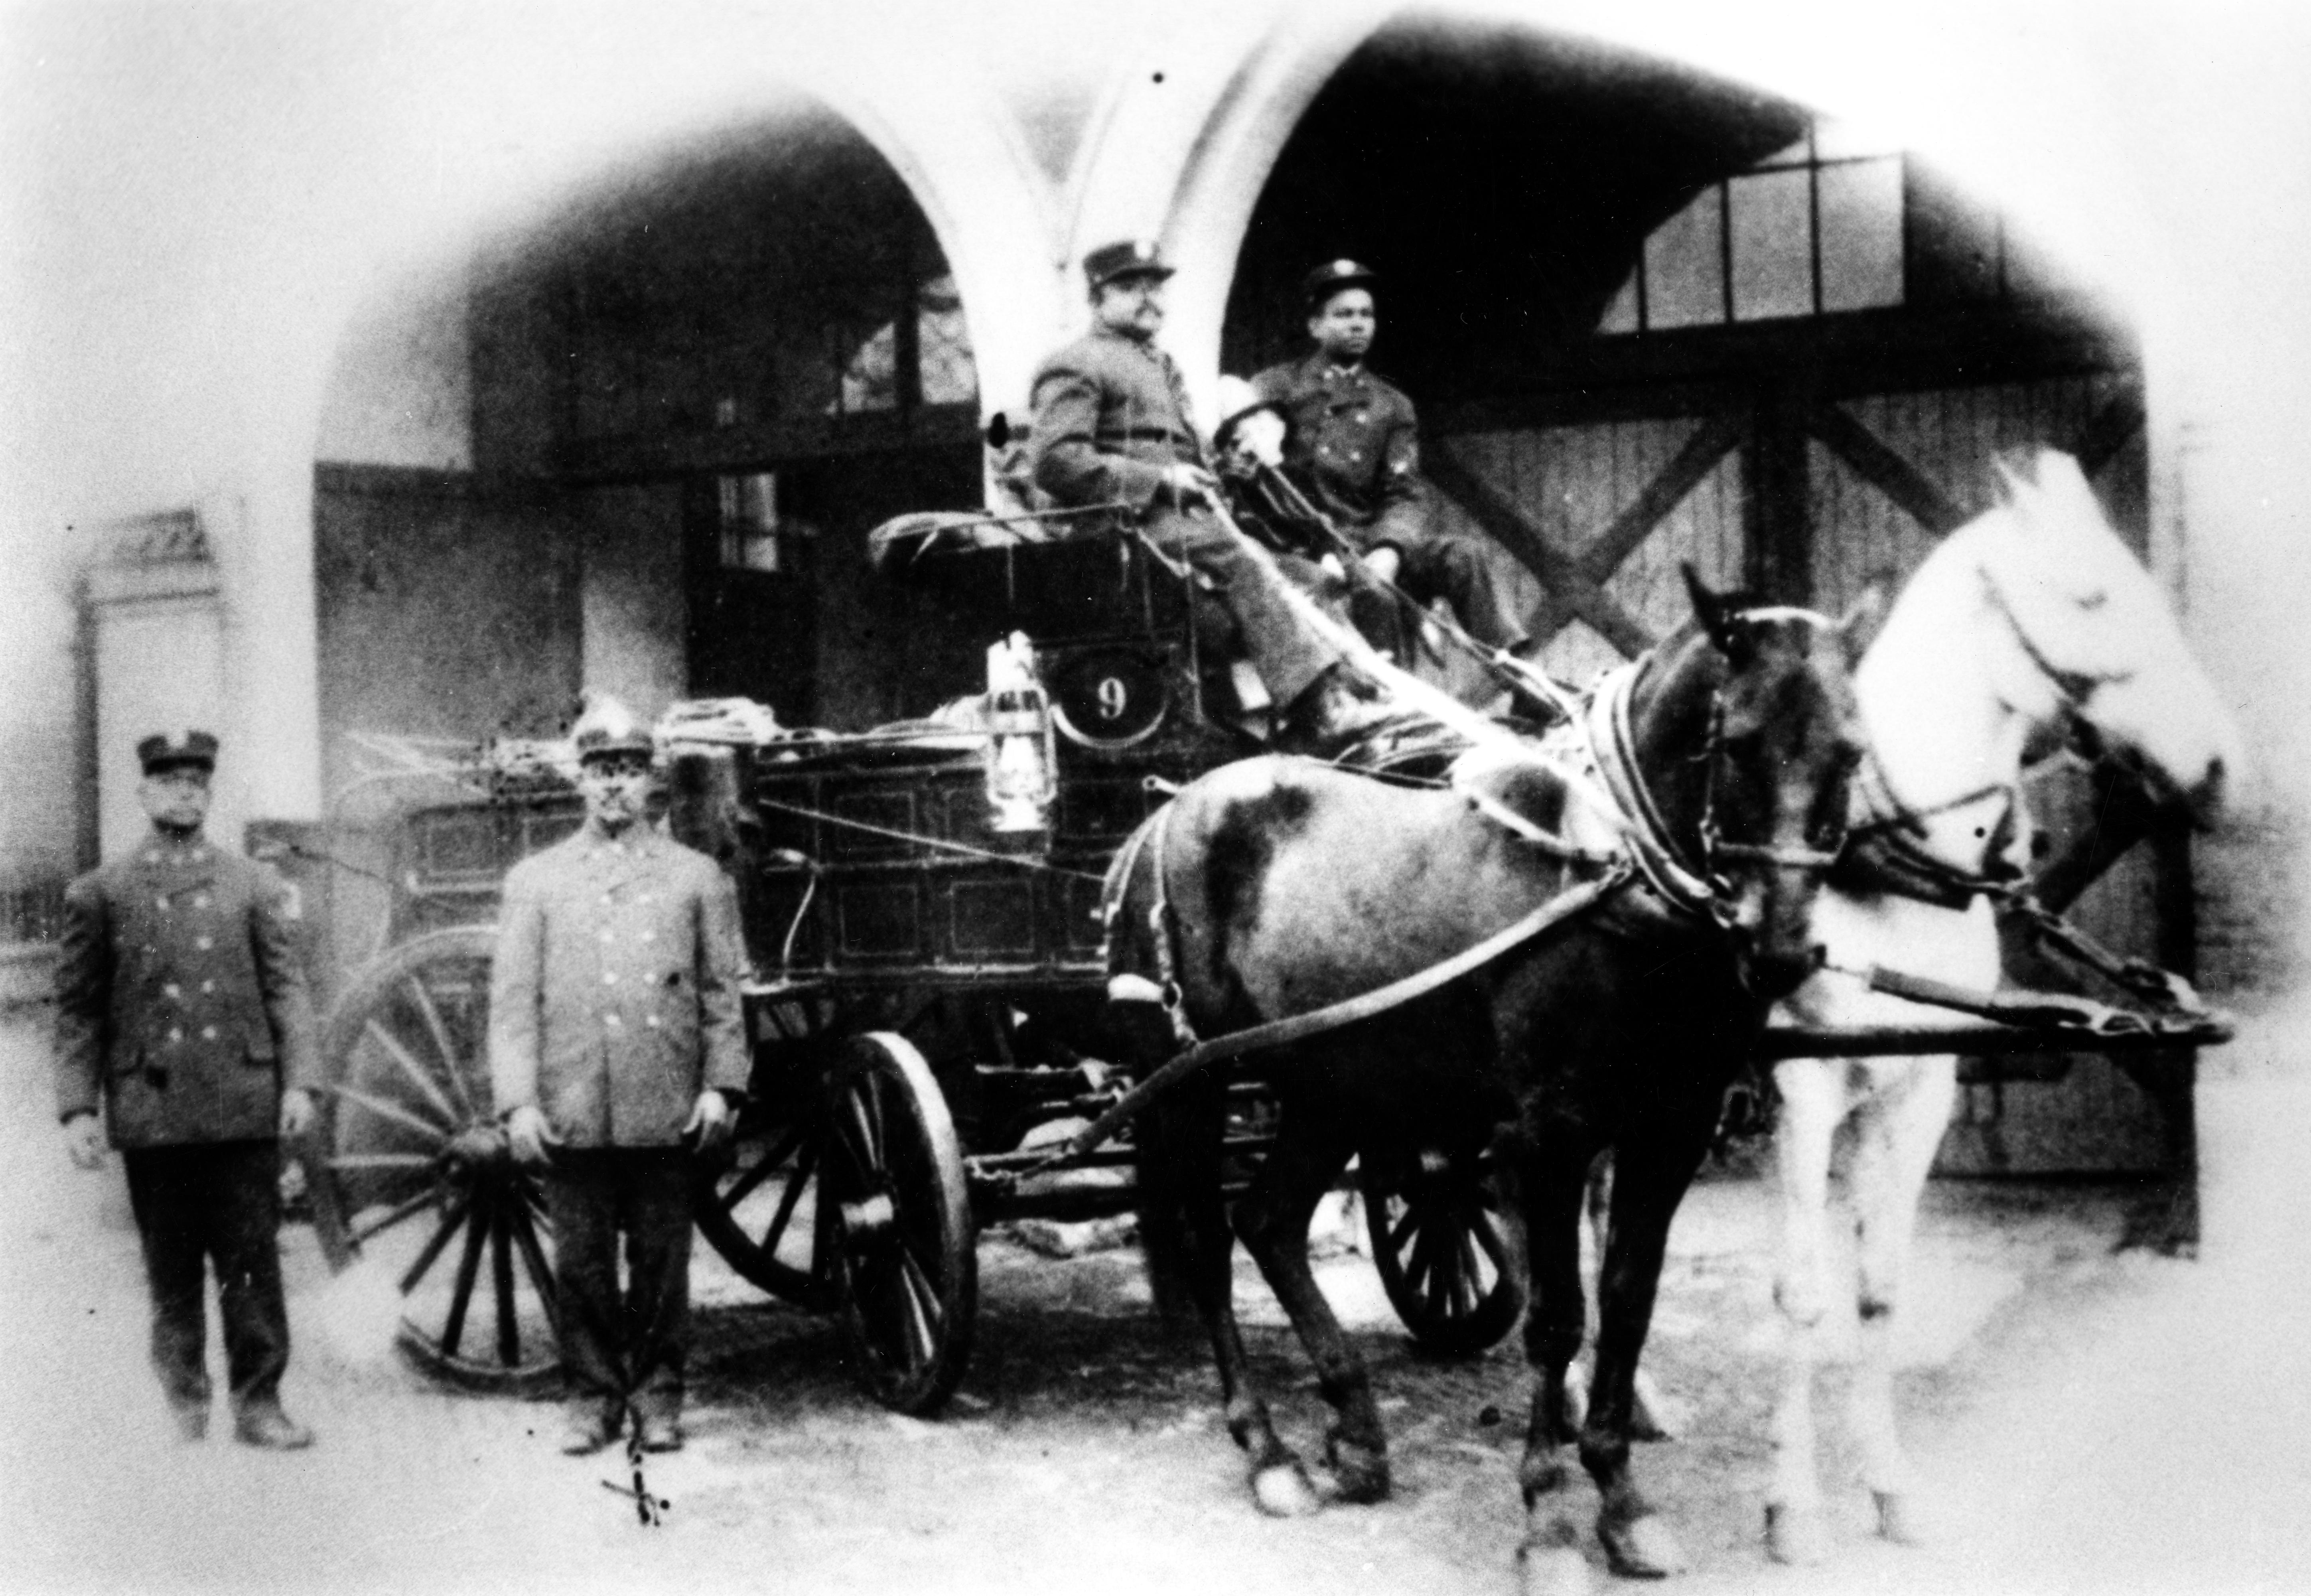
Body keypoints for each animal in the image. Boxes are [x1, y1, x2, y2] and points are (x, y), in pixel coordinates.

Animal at [1108, 569, 1873, 1596]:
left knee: (1268, 1221)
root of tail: (1164, 815)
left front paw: (1624, 1504)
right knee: (1204, 1242)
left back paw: (1356, 1432)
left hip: (1334, 1085)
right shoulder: (1549, 1137)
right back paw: (1267, 1450)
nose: (1782, 951)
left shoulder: (1667, 1130)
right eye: (1737, 740)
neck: (1612, 871)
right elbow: (1555, 1319)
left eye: (1850, 748)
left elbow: (1627, 1303)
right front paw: (1548, 1521)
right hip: (1186, 1086)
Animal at [1761, 446, 2242, 1566]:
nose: (2214, 766)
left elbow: (1877, 1289)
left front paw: (1888, 1486)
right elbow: (1804, 1297)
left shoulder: (1917, 1091)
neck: (1876, 852)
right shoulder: (1804, 1091)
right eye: (2090, 595)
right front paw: (1793, 1505)